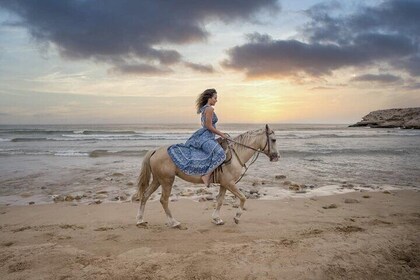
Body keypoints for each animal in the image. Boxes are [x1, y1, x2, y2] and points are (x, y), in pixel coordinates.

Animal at [135, 124, 278, 228]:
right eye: (273, 140)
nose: (277, 156)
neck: (235, 155)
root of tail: (155, 150)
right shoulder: (230, 183)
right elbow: (243, 198)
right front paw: (236, 217)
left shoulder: (224, 184)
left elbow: (220, 200)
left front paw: (217, 219)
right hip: (167, 181)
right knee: (163, 200)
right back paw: (174, 222)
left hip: (157, 180)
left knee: (145, 196)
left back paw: (140, 220)